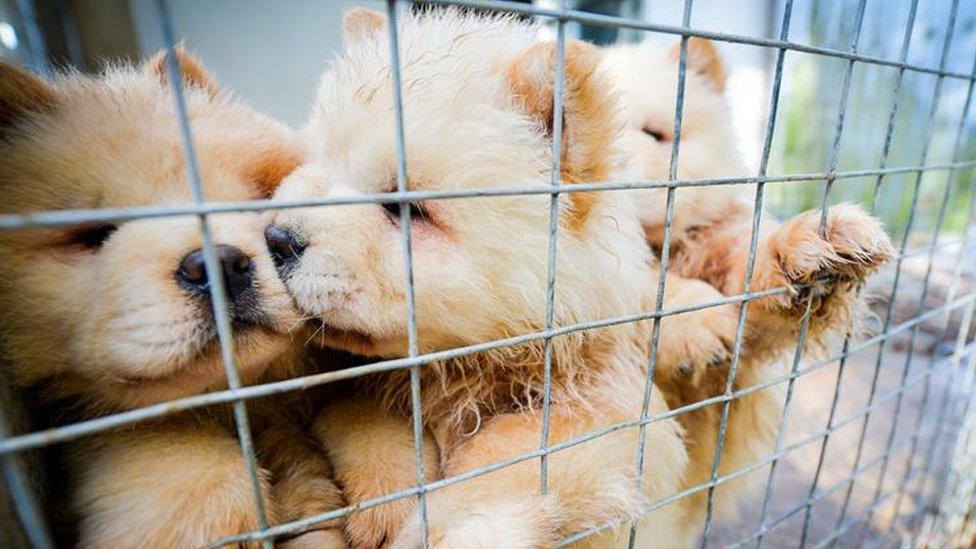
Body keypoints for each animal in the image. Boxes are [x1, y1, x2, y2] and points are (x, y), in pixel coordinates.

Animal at [262, 6, 756, 544]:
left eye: (407, 208)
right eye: (316, 166)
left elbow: (502, 468)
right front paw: (389, 508)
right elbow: (370, 425)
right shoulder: (347, 392)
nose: (277, 239)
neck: (470, 369)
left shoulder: (604, 402)